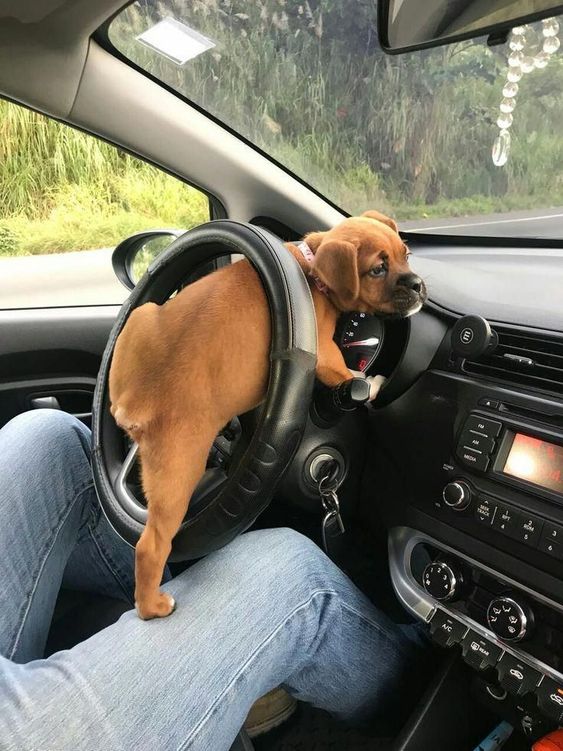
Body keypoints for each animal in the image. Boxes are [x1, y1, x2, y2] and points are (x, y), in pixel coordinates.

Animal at [109, 209, 428, 620]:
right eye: (377, 269)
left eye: (406, 254)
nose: (418, 285)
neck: (311, 265)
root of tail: (137, 400)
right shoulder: (325, 355)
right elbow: (349, 377)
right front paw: (372, 382)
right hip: (179, 474)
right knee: (151, 545)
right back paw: (153, 606)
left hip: (142, 313)